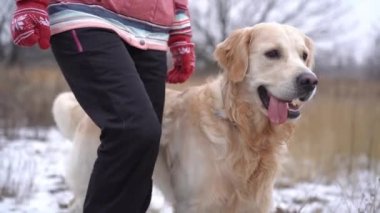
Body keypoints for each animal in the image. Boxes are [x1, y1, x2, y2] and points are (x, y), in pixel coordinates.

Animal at [51, 22, 318, 212]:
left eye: (304, 55)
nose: (310, 81)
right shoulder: (195, 203)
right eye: (272, 53)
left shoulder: (255, 203)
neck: (241, 128)